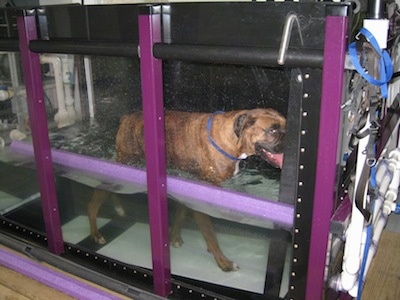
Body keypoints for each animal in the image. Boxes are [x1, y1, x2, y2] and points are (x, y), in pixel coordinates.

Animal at [89, 108, 286, 272]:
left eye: (285, 126)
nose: (288, 138)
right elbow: (210, 235)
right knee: (96, 197)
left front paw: (174, 237)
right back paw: (96, 233)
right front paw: (224, 263)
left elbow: (181, 211)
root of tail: (126, 118)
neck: (231, 140)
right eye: (273, 130)